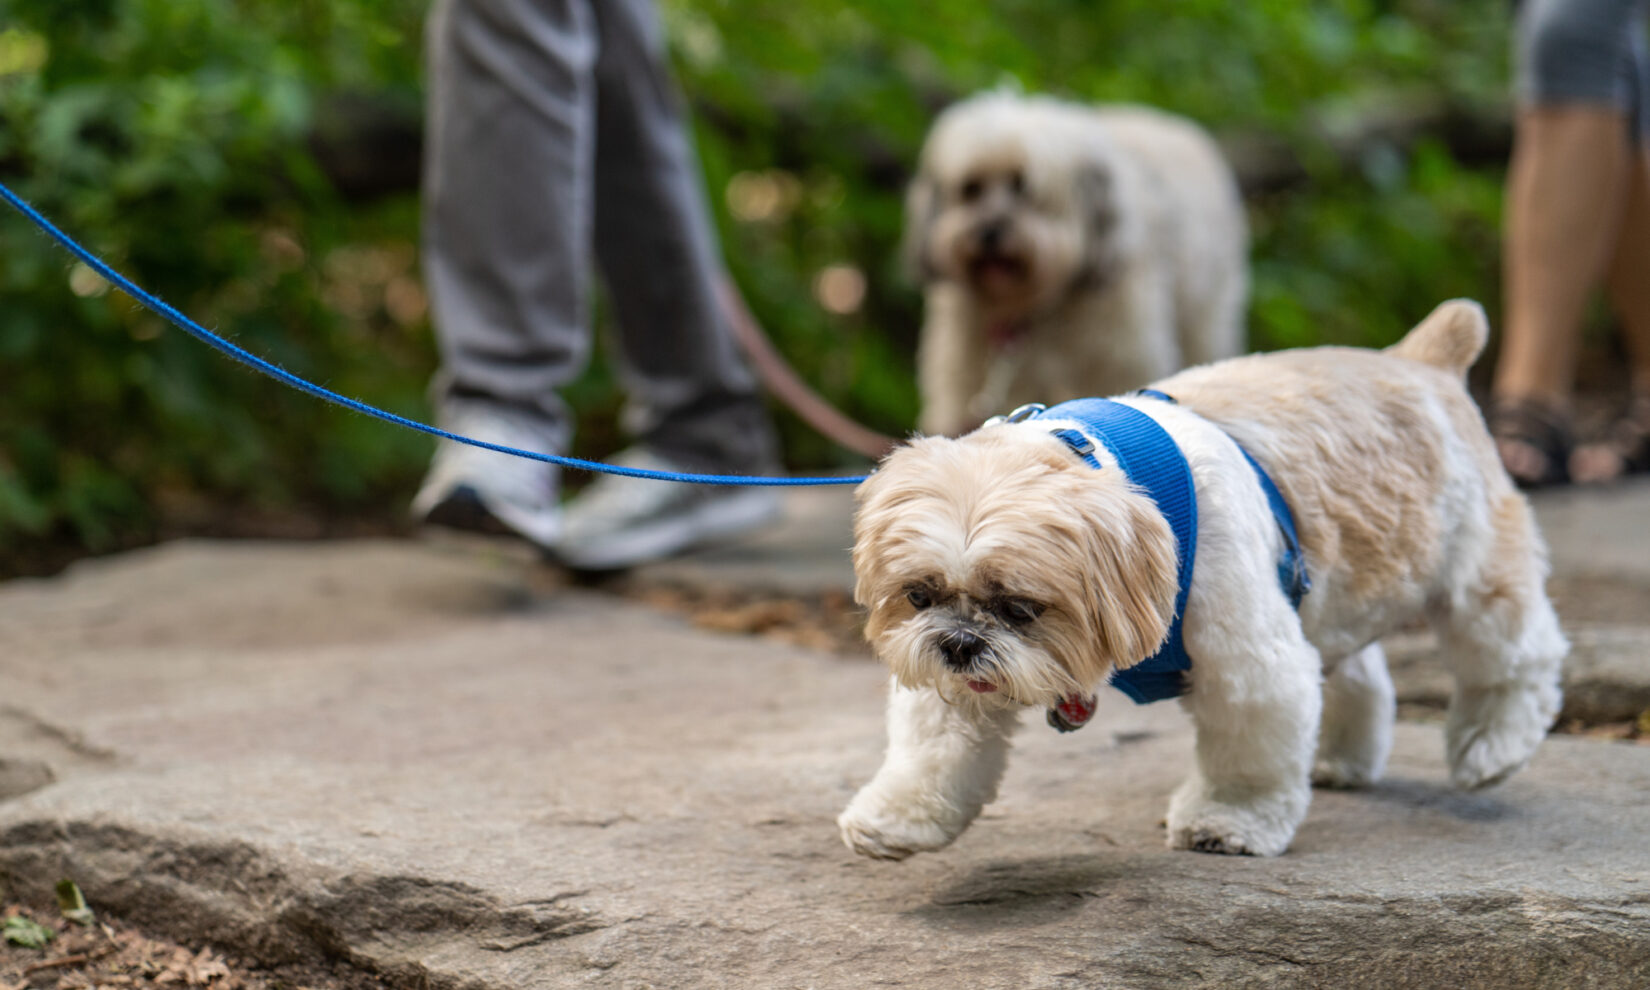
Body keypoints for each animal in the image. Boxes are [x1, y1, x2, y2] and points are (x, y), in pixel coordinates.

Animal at [844, 300, 1564, 858]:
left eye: (1022, 607)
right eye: (919, 595)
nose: (959, 643)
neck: (1120, 466)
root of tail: (1420, 360)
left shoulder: (1250, 665)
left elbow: (1246, 752)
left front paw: (1227, 820)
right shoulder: (948, 682)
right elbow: (935, 745)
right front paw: (896, 817)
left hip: (1477, 580)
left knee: (1515, 659)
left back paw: (1491, 747)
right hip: (1327, 601)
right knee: (1360, 674)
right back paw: (1343, 758)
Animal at [910, 92, 1240, 435]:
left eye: (1022, 186)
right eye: (971, 188)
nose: (989, 232)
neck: (1034, 309)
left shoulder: (1119, 355)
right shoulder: (966, 364)